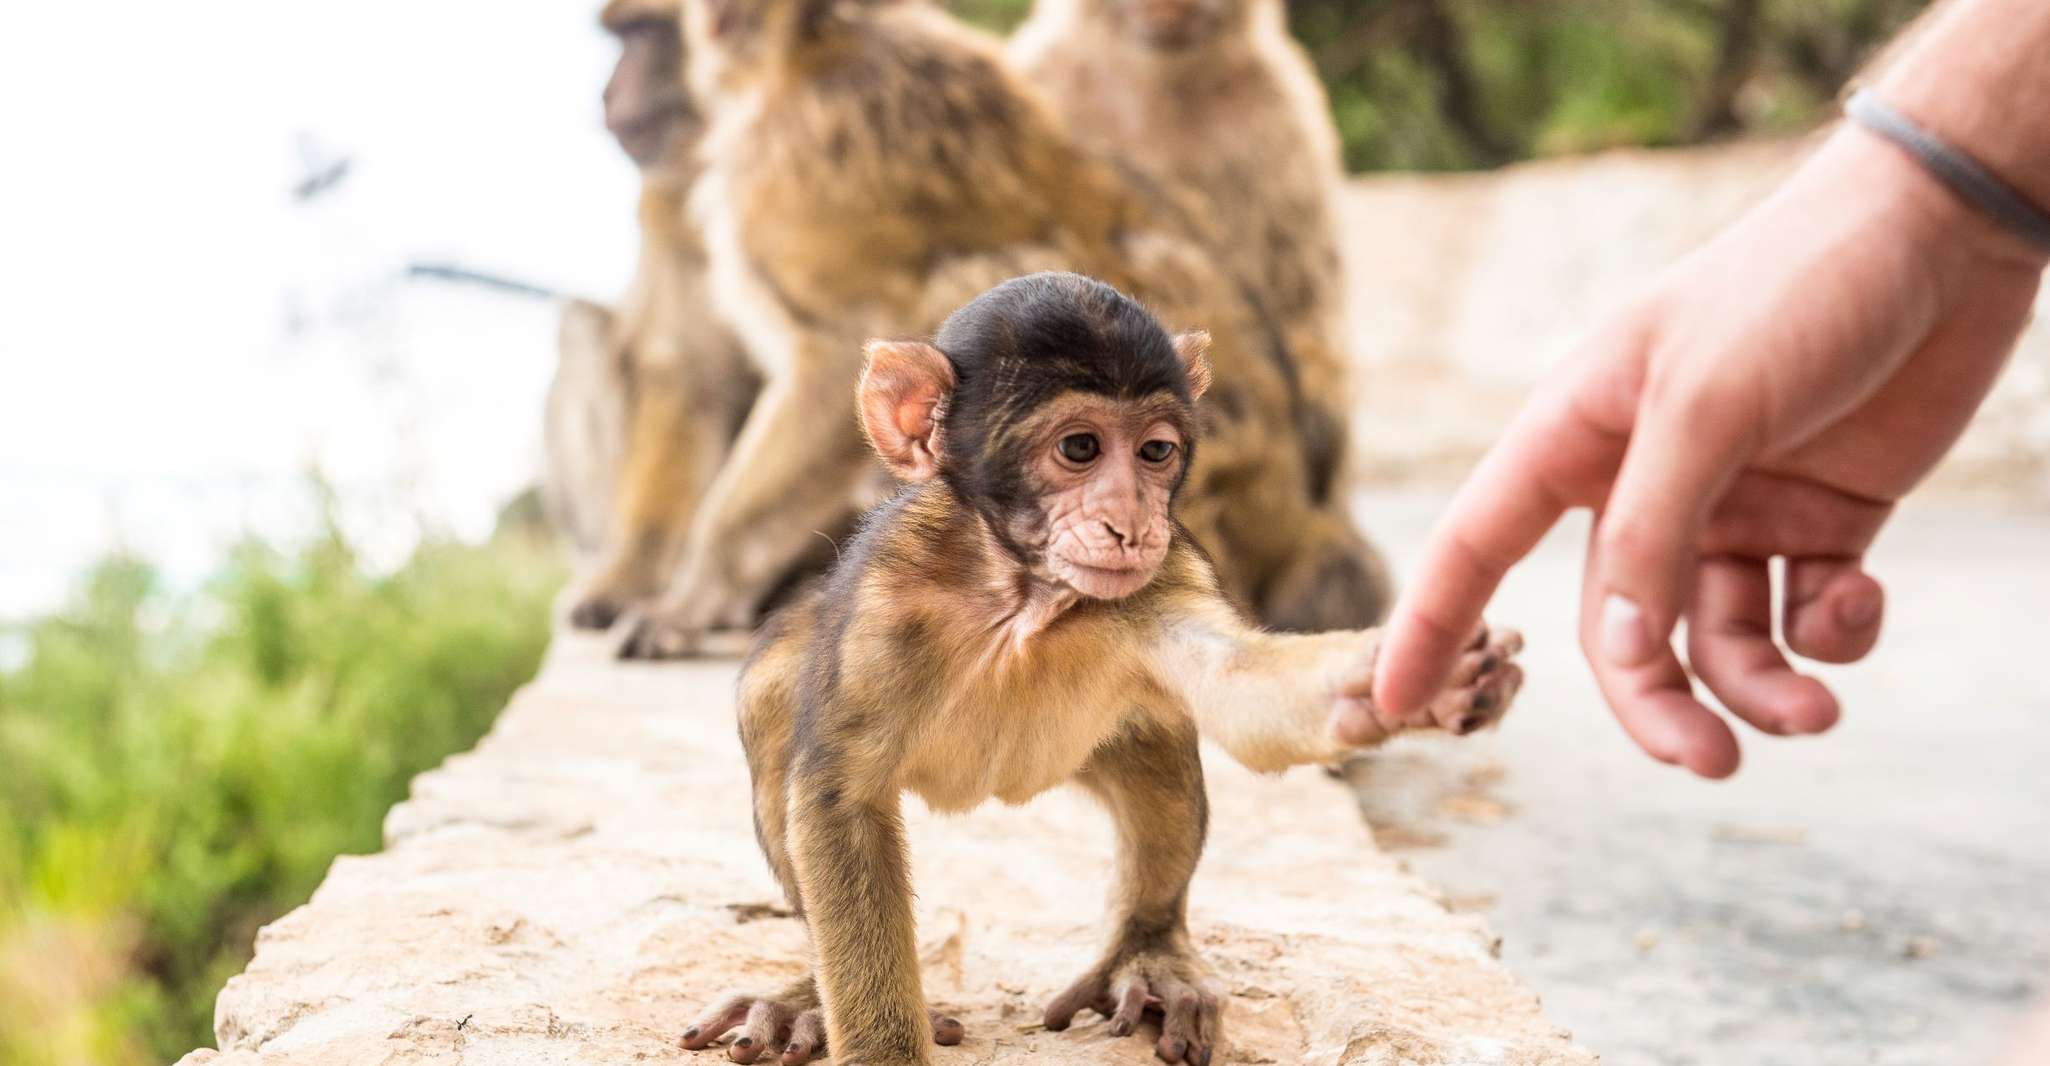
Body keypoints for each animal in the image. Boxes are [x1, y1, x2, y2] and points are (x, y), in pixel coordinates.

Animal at [680, 276, 1533, 1066]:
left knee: (1160, 747)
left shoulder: (1169, 577)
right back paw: (805, 999)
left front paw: (1417, 678)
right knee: (773, 693)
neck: (1020, 595)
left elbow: (1242, 688)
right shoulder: (880, 608)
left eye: (1155, 451)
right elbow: (838, 800)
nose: (1132, 522)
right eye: (1080, 449)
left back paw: (1147, 951)